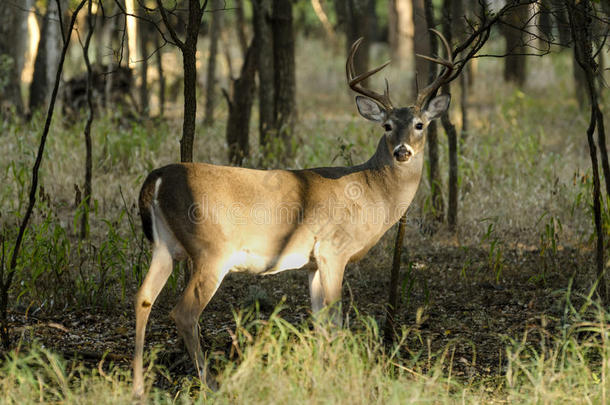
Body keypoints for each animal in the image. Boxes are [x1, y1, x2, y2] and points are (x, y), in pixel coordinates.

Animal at [133, 30, 454, 396]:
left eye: (419, 124)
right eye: (386, 126)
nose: (403, 151)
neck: (370, 192)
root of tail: (157, 177)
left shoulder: (312, 263)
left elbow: (320, 322)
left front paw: (322, 374)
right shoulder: (333, 249)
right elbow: (336, 319)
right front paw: (339, 376)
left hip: (164, 246)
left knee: (143, 298)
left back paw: (138, 386)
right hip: (211, 250)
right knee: (184, 313)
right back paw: (211, 383)